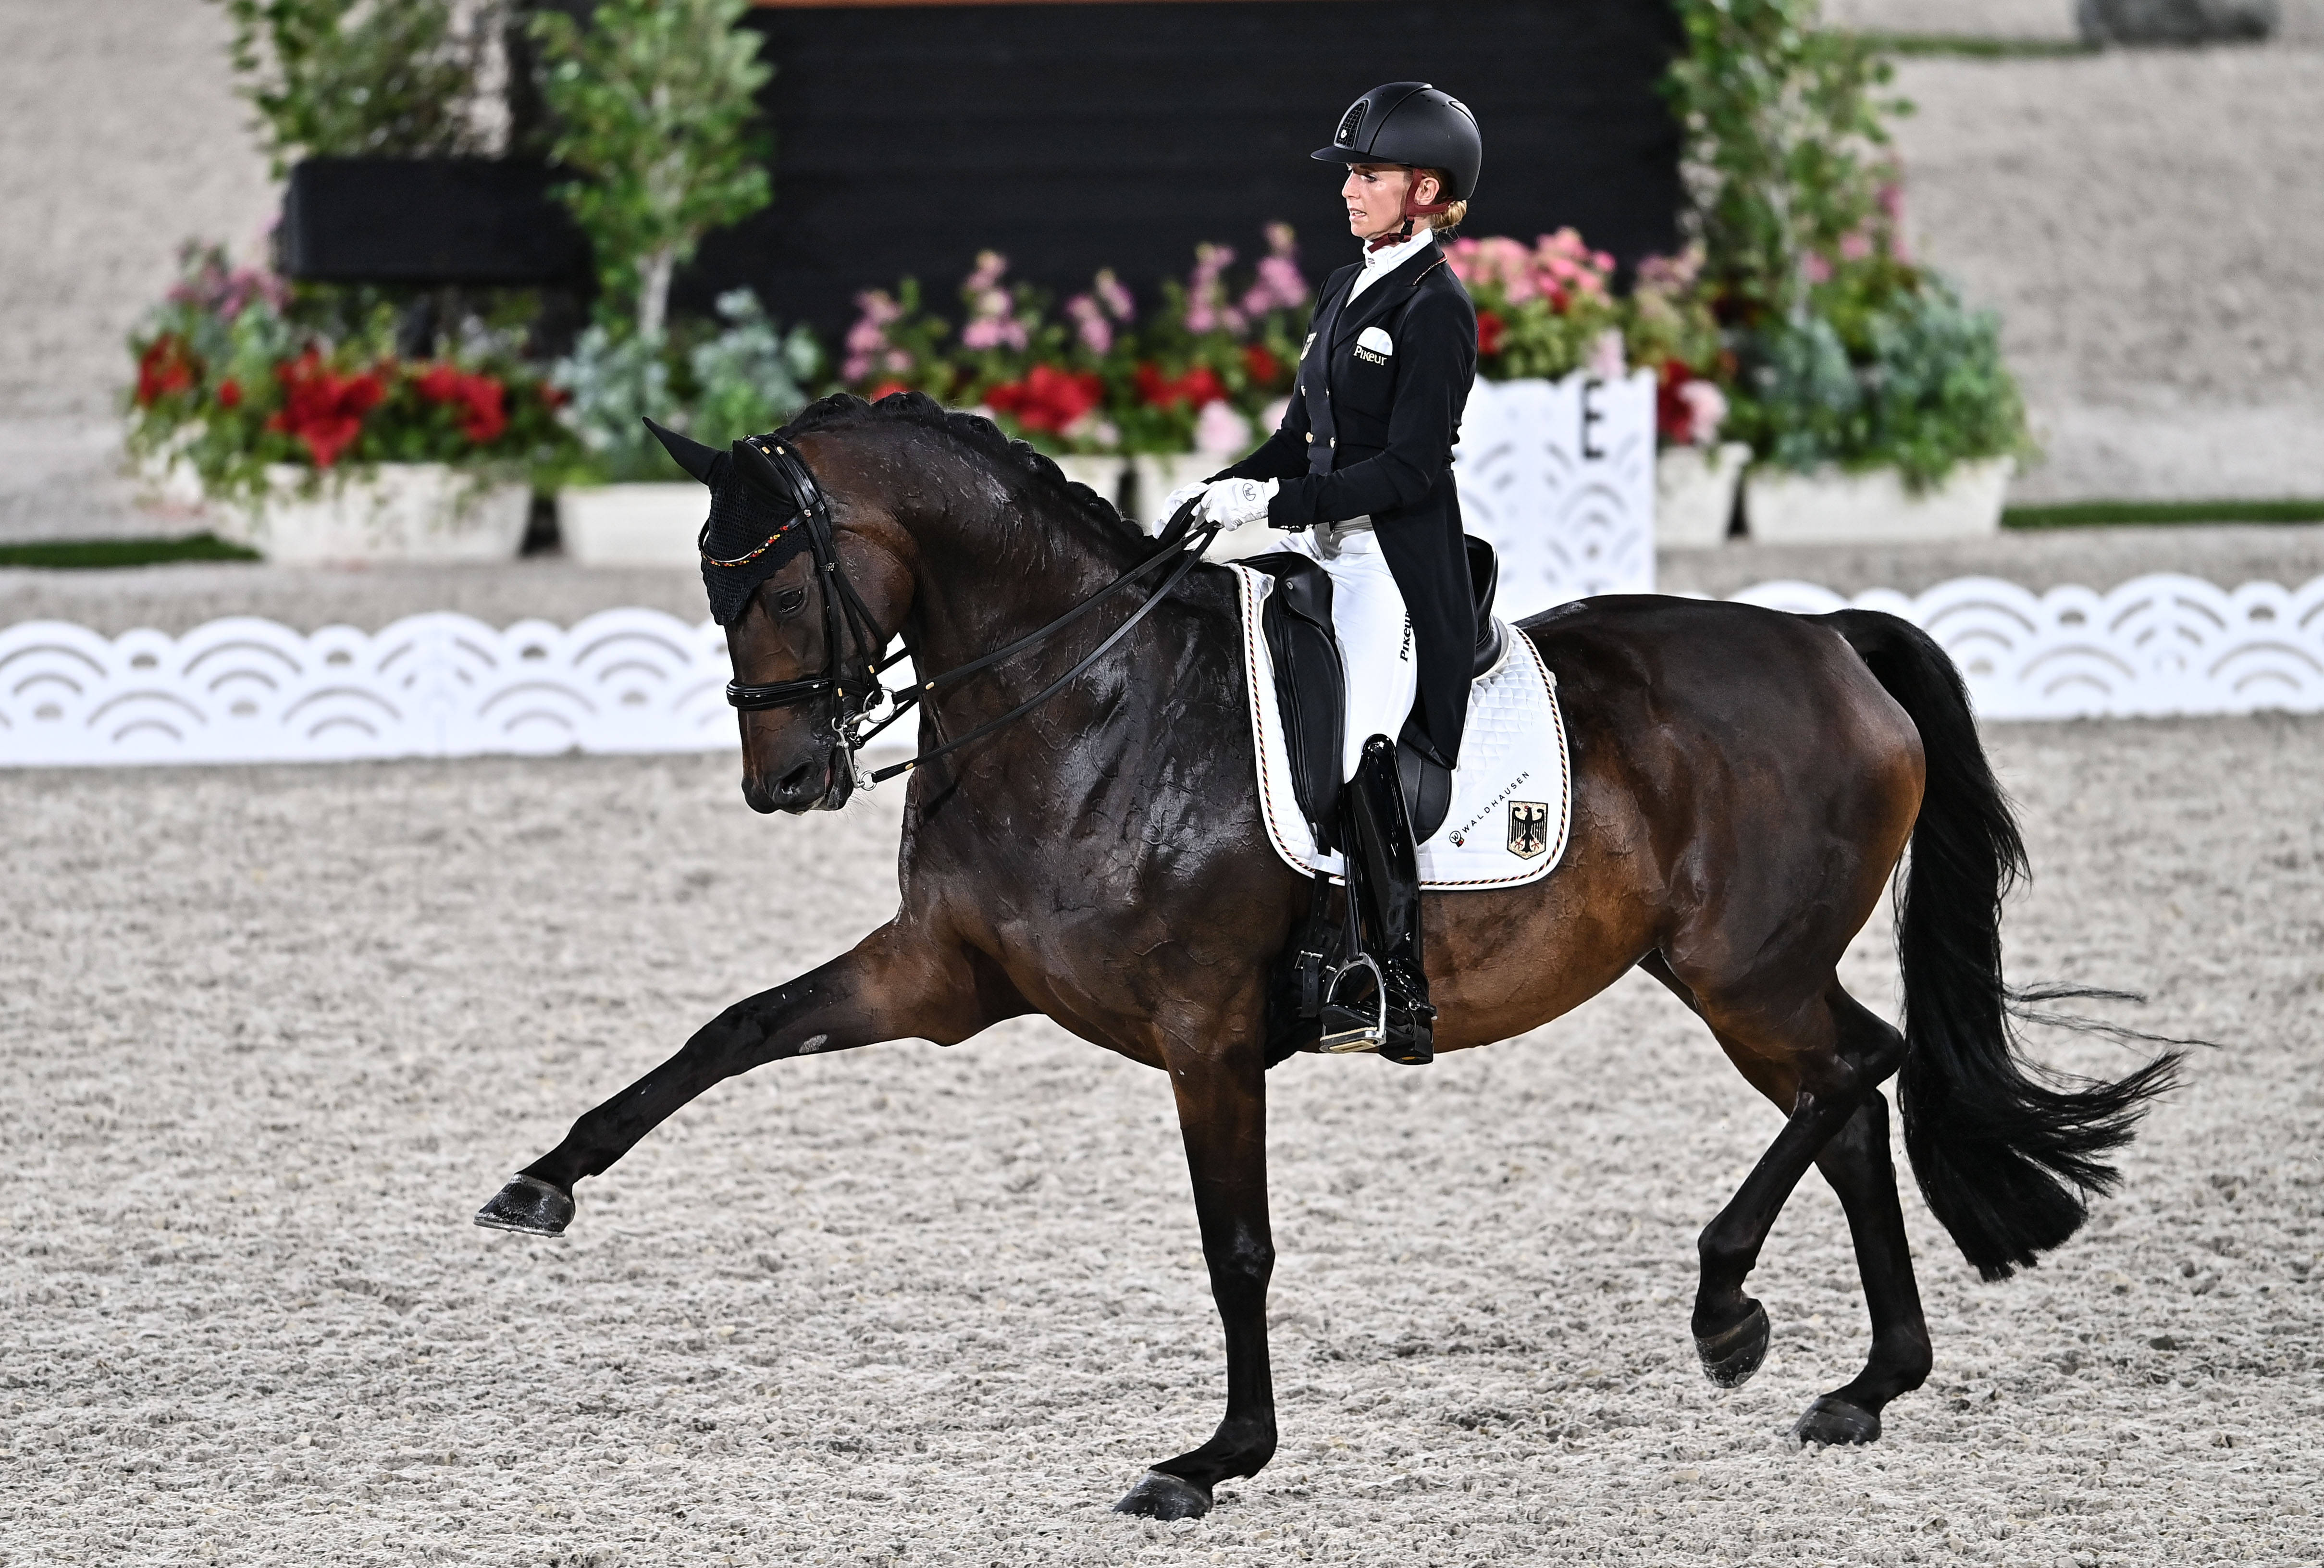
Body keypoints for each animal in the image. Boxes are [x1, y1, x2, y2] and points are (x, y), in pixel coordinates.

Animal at [471, 392, 2175, 1524]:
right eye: (709, 582)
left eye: (768, 581)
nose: (785, 780)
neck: (1081, 703)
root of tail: (1830, 640)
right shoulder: (941, 978)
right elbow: (734, 1027)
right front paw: (540, 1181)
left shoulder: (1206, 1032)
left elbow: (1236, 1246)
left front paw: (1212, 1459)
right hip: (1732, 978)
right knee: (1855, 1104)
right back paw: (1865, 1380)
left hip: (1739, 968)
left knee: (1856, 1073)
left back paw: (1728, 1312)